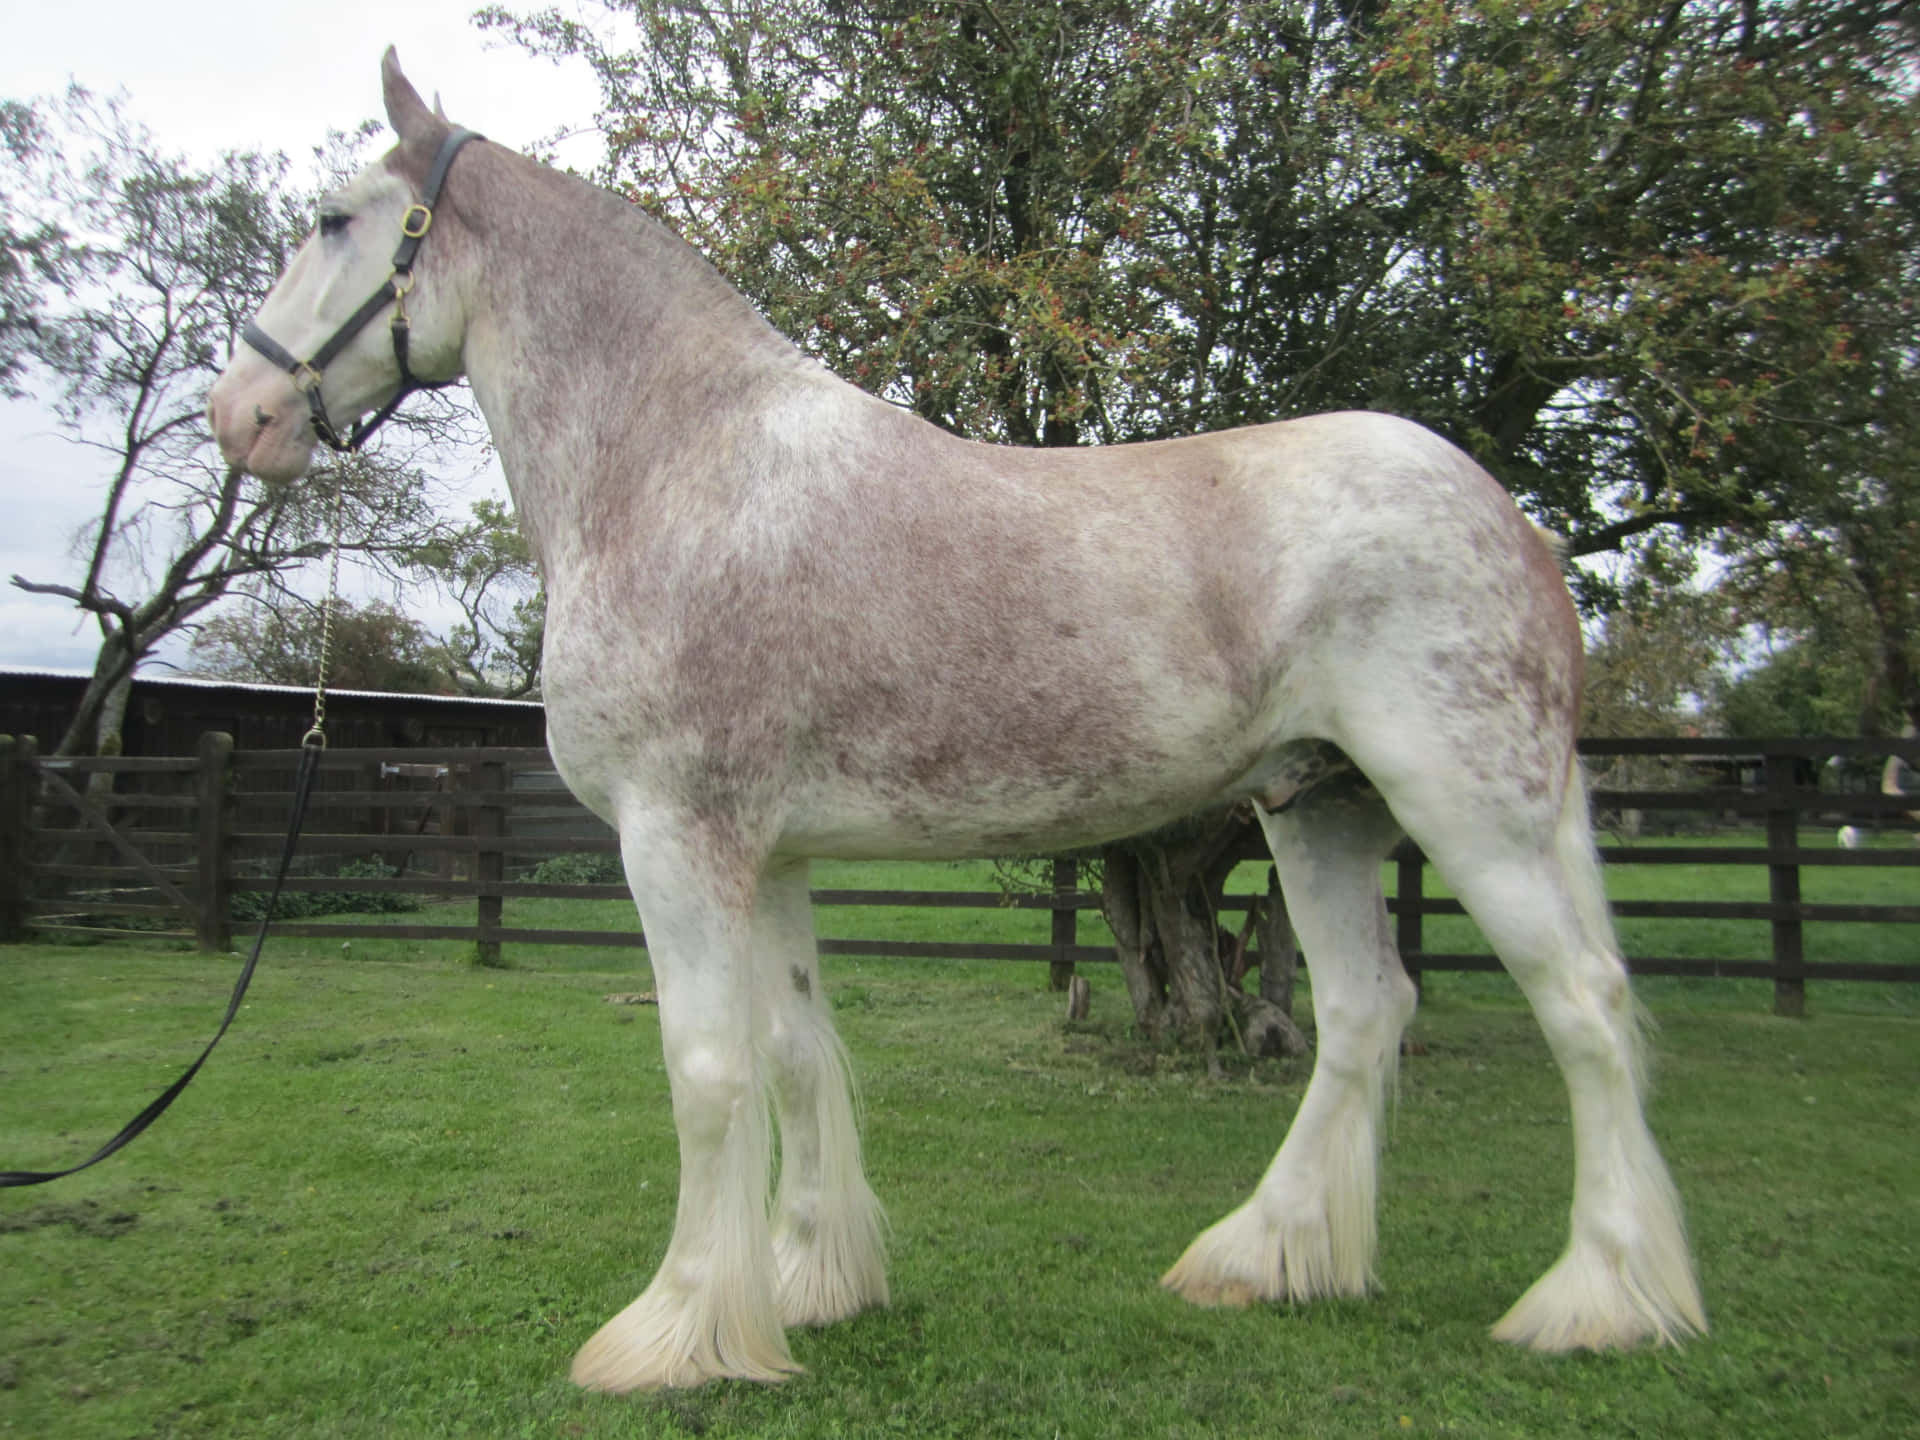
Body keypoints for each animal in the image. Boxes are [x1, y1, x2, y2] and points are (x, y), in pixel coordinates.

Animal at [207, 51, 1707, 1392]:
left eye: (333, 218)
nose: (242, 413)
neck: (681, 463)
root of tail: (1508, 517)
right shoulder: (772, 857)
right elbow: (794, 1057)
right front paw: (808, 1286)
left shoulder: (674, 840)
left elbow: (706, 1071)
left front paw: (675, 1337)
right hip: (1321, 809)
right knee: (1360, 1012)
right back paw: (1265, 1257)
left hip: (1469, 806)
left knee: (1583, 1007)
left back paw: (1598, 1301)